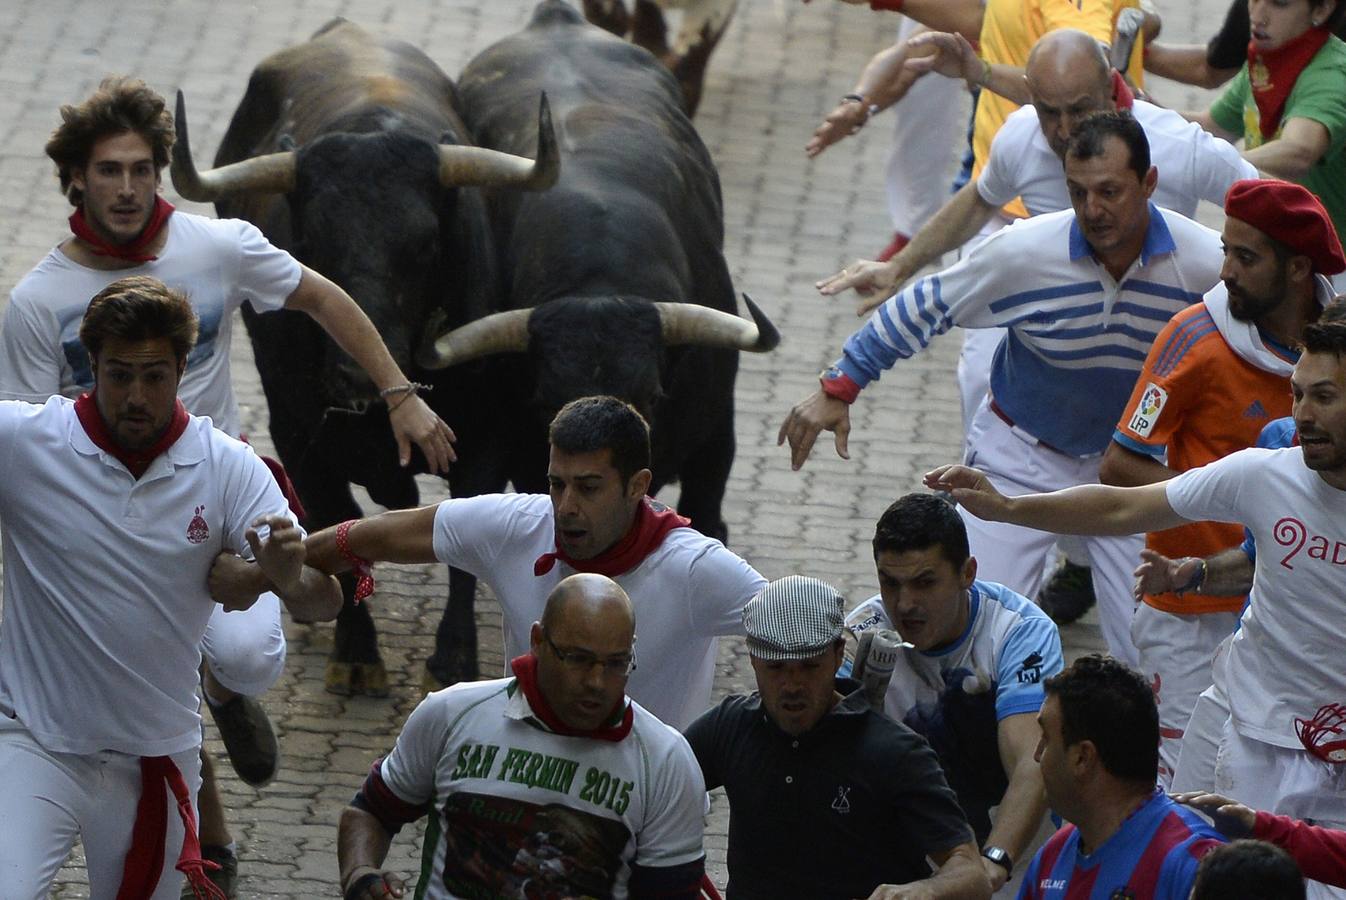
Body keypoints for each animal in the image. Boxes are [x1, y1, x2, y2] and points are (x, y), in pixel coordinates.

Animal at [170, 17, 559, 694]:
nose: (355, 377)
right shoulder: (298, 433)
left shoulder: (488, 432)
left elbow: (463, 540)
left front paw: (453, 656)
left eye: (427, 243)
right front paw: (355, 653)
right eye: (311, 242)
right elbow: (336, 520)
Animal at [417, 0, 780, 683]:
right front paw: (450, 650)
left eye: (654, 394)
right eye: (543, 400)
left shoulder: (716, 435)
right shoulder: (484, 436)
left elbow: (707, 517)